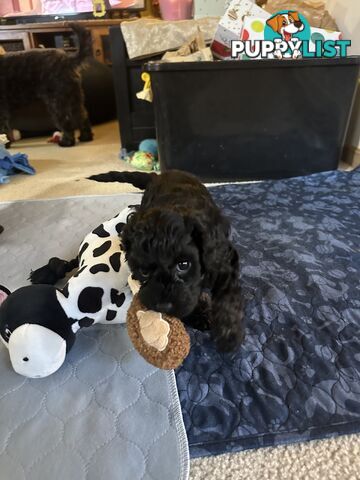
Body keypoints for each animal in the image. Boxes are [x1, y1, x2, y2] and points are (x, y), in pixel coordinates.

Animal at [89, 171, 245, 350]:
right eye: (144, 272)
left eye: (183, 265)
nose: (163, 307)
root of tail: (159, 174)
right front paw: (198, 315)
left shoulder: (223, 258)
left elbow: (228, 295)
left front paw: (229, 333)